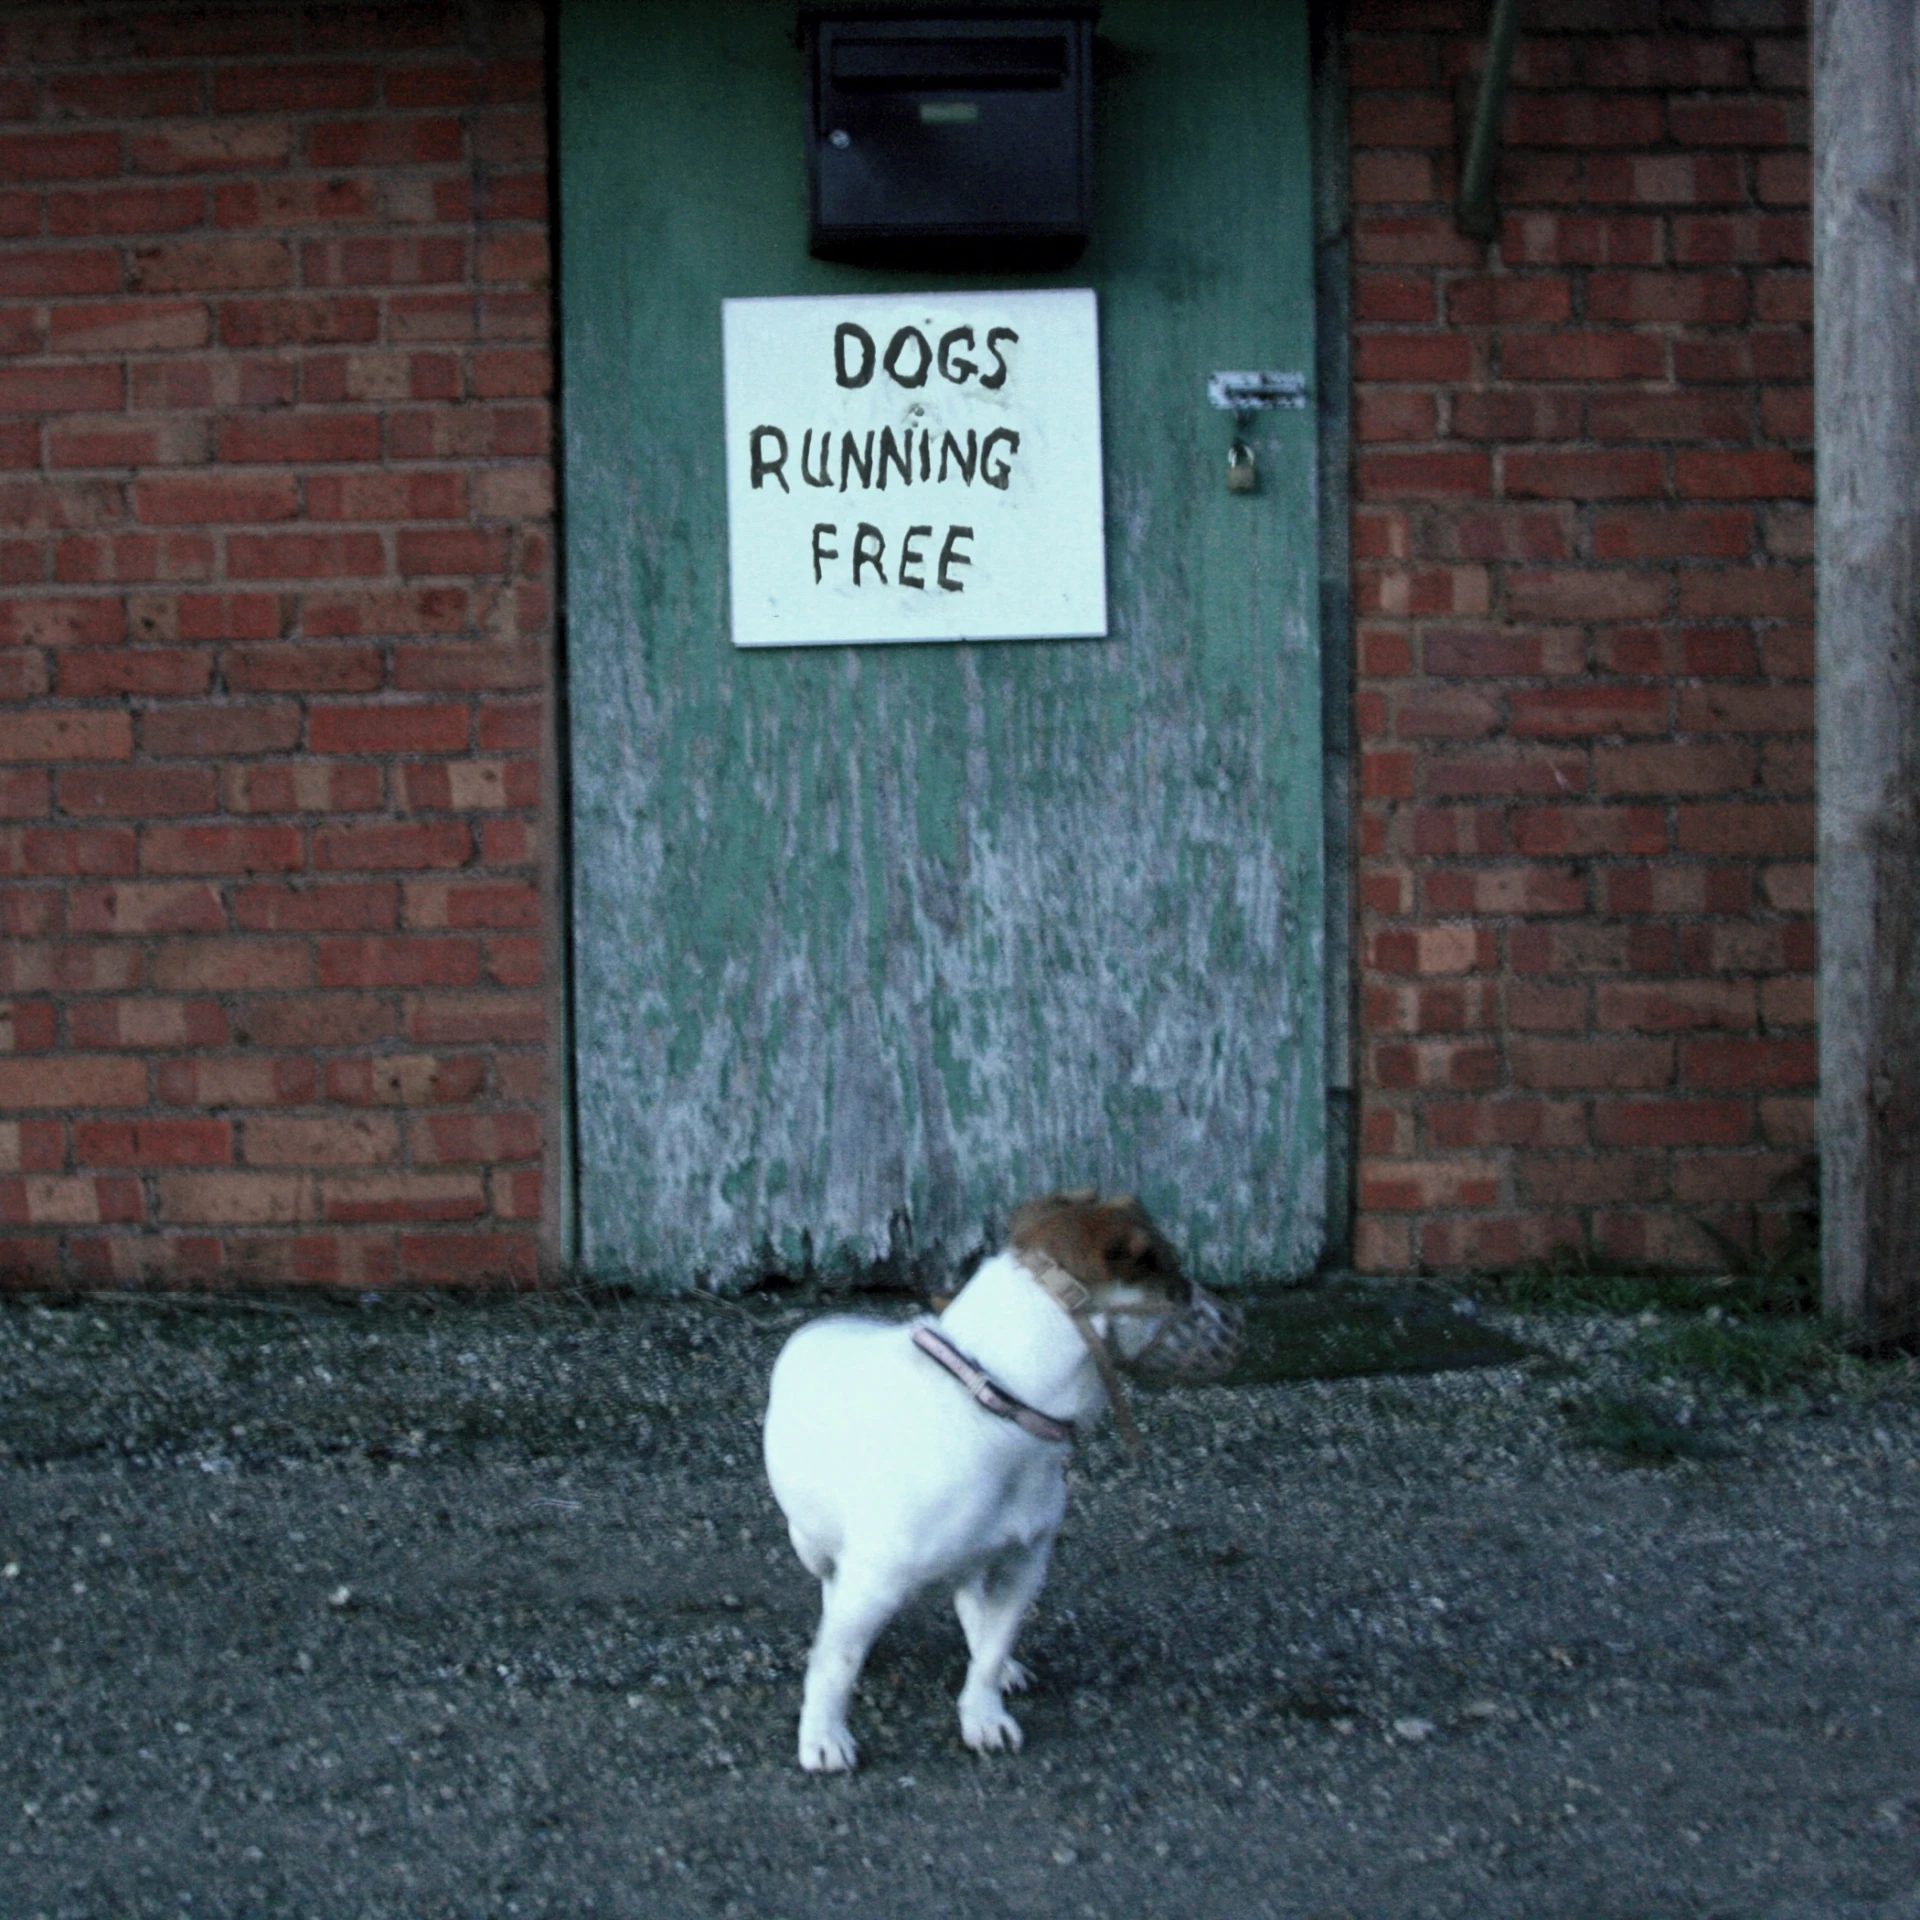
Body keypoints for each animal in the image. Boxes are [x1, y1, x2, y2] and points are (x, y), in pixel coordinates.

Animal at [756, 1190, 1236, 1774]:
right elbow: (837, 1663)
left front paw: (983, 1714)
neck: (996, 1399)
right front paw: (823, 1734)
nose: (1234, 1319)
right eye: (1176, 1280)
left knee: (971, 1600)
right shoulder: (872, 1582)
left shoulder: (1024, 1566)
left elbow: (989, 1650)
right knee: (833, 1583)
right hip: (810, 1544)